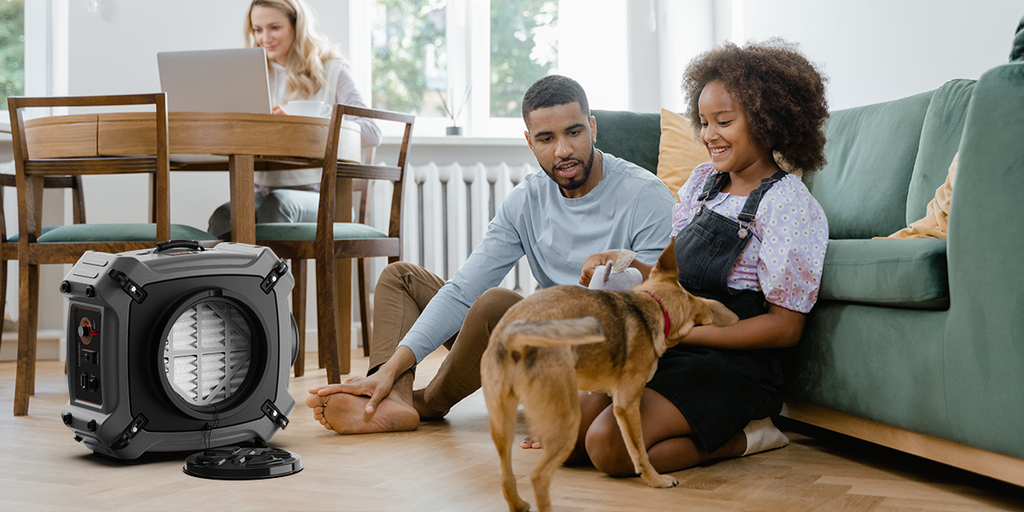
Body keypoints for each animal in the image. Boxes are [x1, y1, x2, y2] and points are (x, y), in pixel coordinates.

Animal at [479, 239, 737, 512]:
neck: (653, 305)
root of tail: (514, 336)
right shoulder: (627, 405)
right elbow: (639, 451)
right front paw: (656, 480)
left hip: (503, 423)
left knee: (507, 477)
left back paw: (518, 503)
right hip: (566, 422)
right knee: (538, 477)